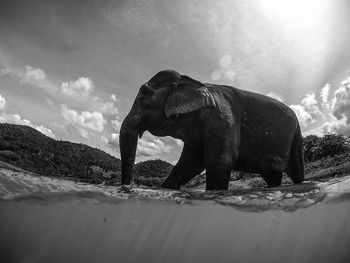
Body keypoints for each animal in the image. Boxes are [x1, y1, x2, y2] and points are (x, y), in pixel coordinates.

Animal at [118, 69, 304, 191]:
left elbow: (220, 162)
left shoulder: (223, 121)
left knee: (297, 171)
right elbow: (188, 165)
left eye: (143, 94)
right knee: (272, 176)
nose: (127, 187)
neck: (191, 81)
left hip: (296, 138)